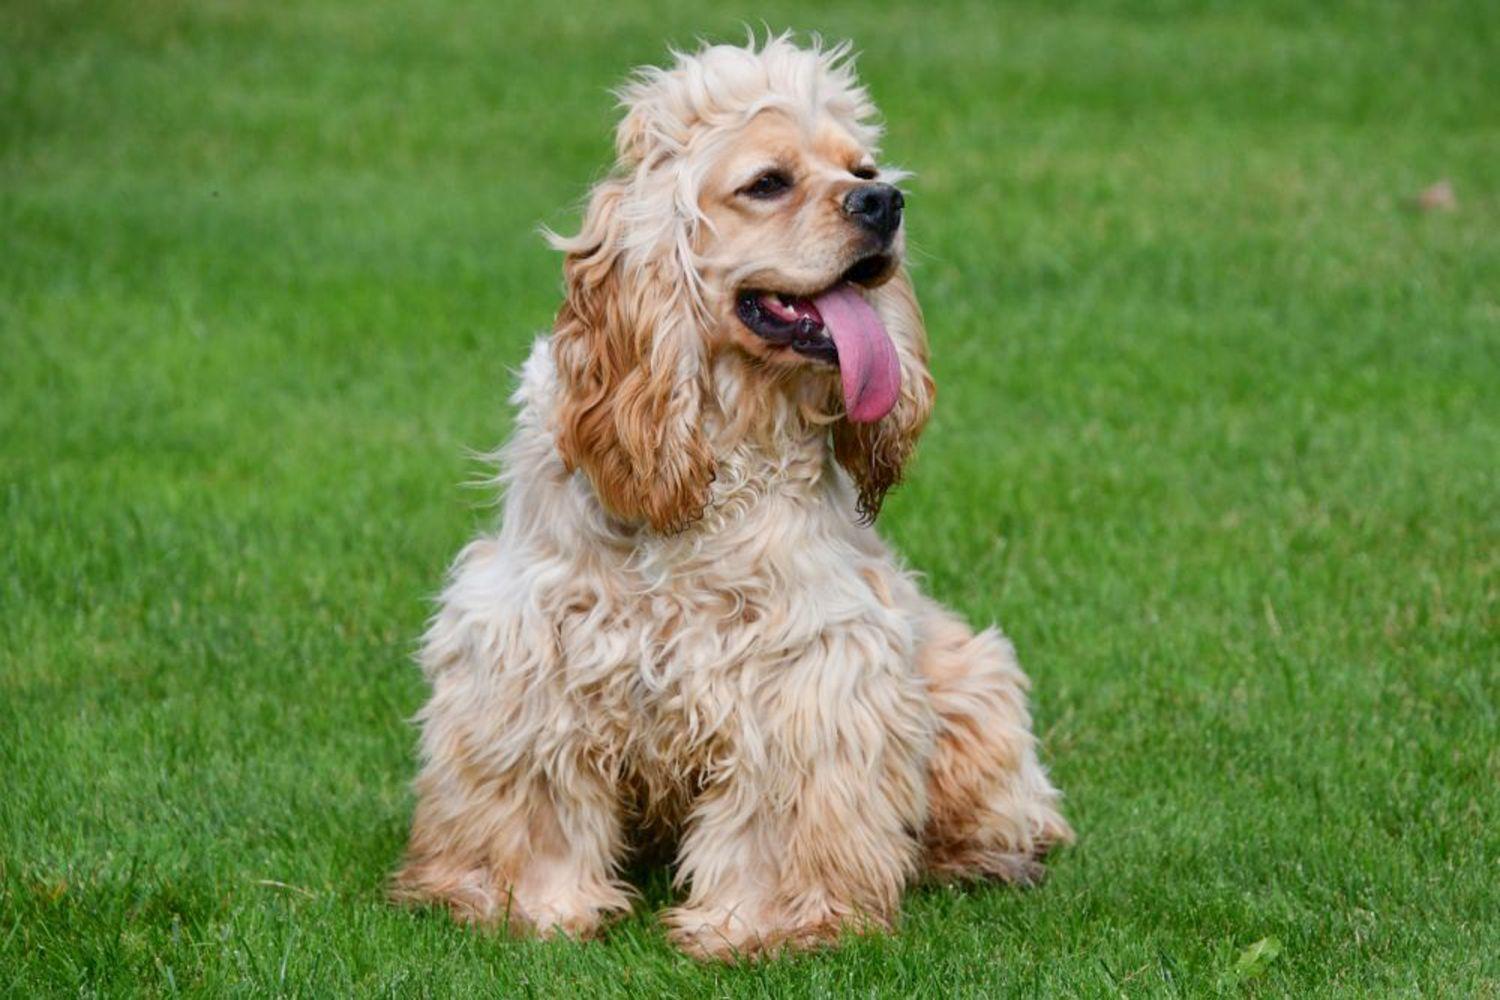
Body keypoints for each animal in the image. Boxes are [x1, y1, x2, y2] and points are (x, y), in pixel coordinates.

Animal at [390, 33, 1068, 959]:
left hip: (969, 676)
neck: (719, 443)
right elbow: (540, 796)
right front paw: (528, 907)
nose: (885, 201)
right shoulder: (527, 652)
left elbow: (777, 812)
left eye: (862, 167)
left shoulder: (808, 669)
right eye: (768, 182)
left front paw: (760, 924)